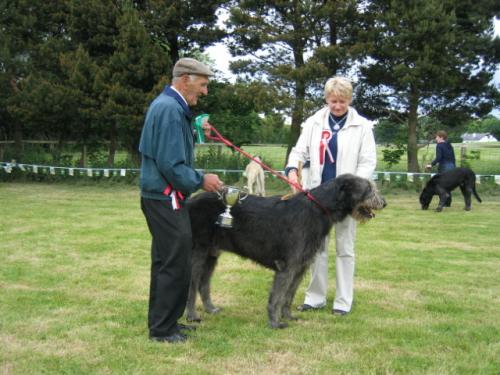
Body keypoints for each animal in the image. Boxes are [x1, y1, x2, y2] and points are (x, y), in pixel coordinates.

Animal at [186, 174, 384, 328]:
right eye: (369, 189)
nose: (384, 202)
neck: (318, 208)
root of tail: (189, 202)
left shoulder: (301, 265)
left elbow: (289, 294)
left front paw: (287, 316)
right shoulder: (287, 265)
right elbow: (278, 296)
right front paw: (274, 322)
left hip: (211, 254)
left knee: (203, 284)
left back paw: (210, 309)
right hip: (197, 253)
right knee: (192, 285)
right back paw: (191, 316)